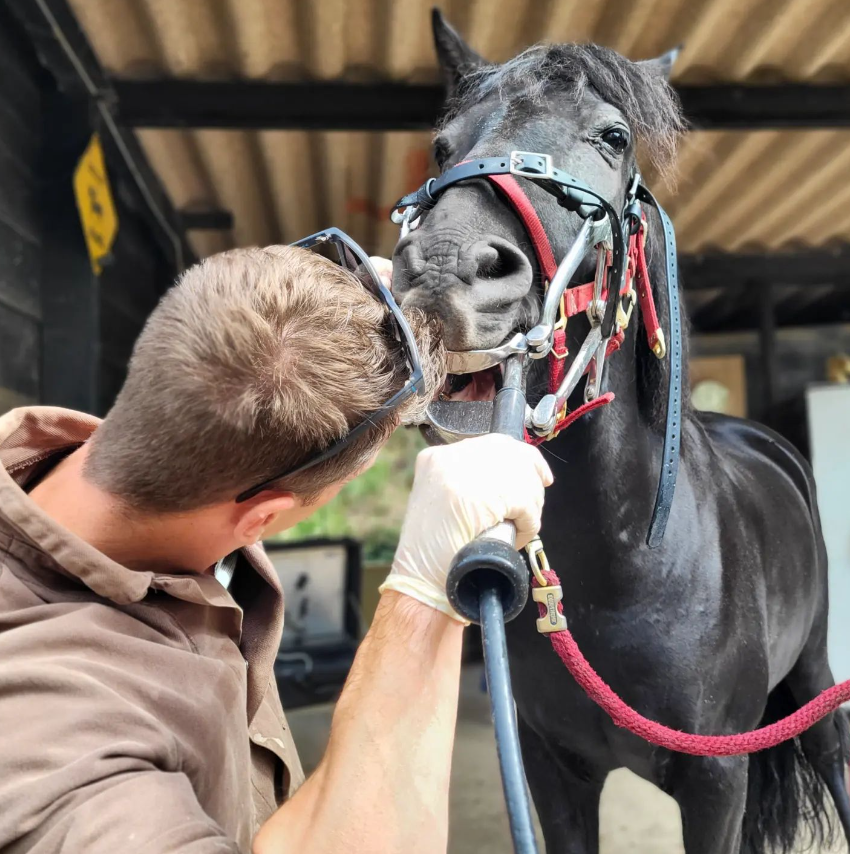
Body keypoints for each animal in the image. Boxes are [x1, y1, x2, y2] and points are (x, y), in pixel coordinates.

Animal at [392, 13, 848, 854]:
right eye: (442, 145)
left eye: (613, 136)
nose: (443, 273)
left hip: (814, 678)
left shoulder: (717, 779)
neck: (629, 562)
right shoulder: (552, 771)